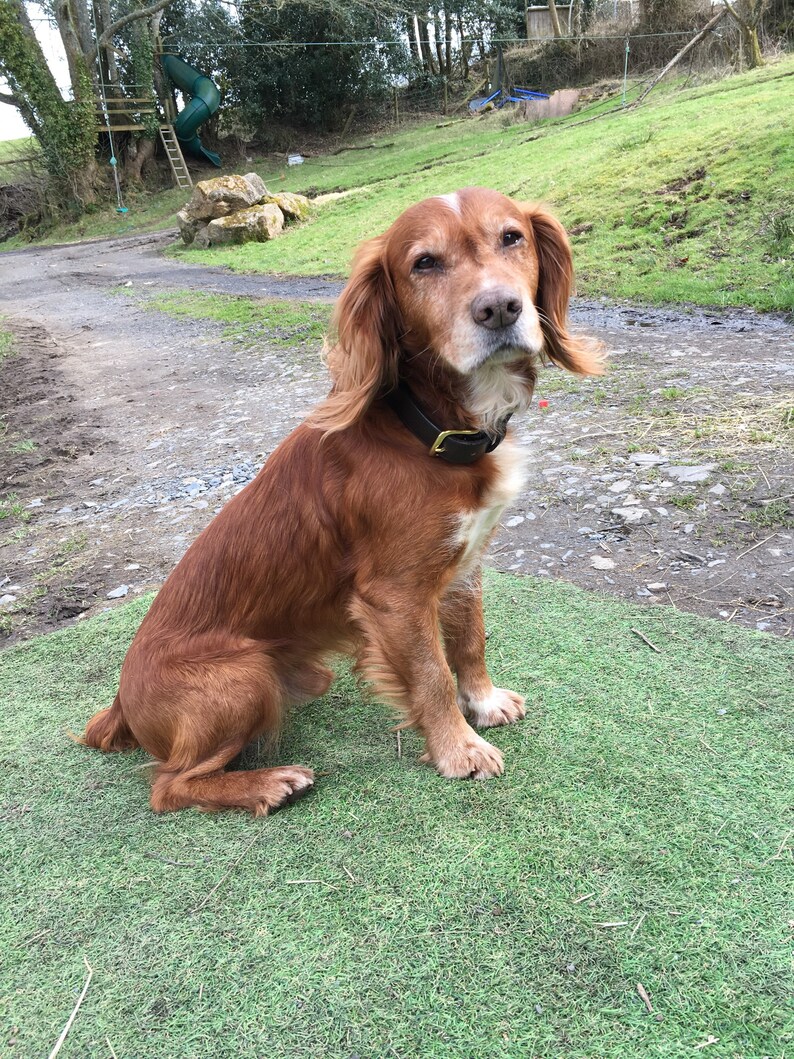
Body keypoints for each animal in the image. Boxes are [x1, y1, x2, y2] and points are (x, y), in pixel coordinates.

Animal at [82, 186, 601, 813]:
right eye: (424, 263)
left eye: (511, 237)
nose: (500, 309)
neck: (427, 427)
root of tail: (120, 701)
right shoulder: (395, 595)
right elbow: (431, 674)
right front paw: (459, 749)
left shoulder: (464, 563)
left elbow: (470, 638)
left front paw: (483, 701)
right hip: (245, 676)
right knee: (170, 786)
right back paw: (268, 782)